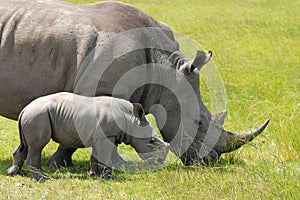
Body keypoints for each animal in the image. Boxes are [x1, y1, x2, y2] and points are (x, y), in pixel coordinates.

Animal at [7, 92, 169, 181]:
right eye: (152, 142)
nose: (159, 163)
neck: (130, 118)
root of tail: (24, 109)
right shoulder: (106, 136)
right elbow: (105, 157)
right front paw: (108, 177)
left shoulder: (102, 137)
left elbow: (97, 157)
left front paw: (93, 174)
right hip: (38, 115)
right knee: (37, 146)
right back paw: (42, 180)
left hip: (34, 115)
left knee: (25, 145)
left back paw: (14, 173)